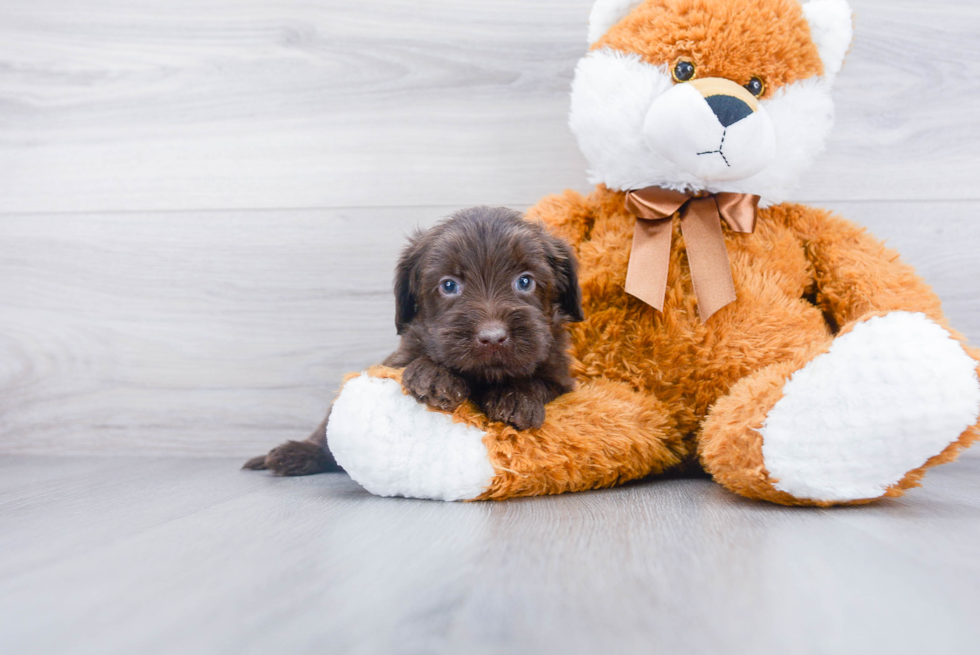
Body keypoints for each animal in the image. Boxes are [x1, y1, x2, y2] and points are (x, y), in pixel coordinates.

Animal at [245, 206, 580, 476]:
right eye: (449, 285)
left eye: (525, 281)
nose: (493, 337)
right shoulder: (398, 358)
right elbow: (418, 360)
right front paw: (435, 375)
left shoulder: (561, 377)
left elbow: (540, 381)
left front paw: (517, 398)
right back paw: (296, 453)